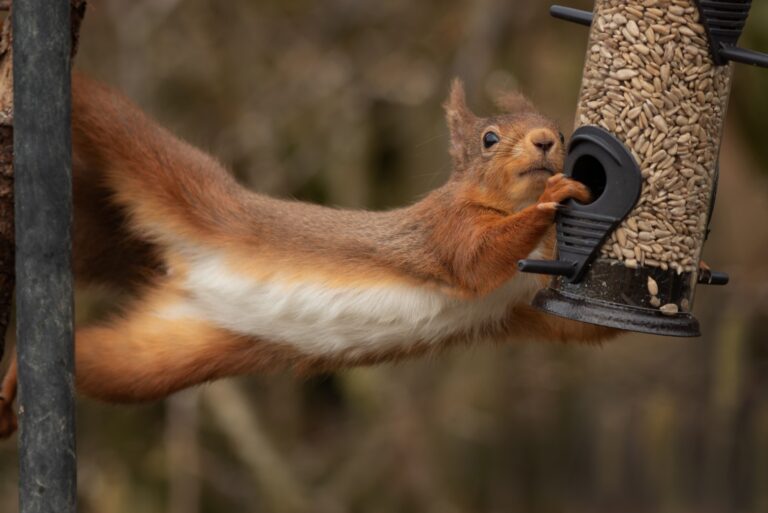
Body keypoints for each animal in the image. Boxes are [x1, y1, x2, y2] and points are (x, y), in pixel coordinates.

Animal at [0, 74, 618, 438]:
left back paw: (15, 382)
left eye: (561, 131)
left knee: (97, 359)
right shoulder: (443, 233)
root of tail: (182, 270)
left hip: (161, 357)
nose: (546, 140)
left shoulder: (524, 302)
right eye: (489, 139)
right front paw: (552, 197)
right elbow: (475, 261)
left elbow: (582, 331)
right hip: (165, 165)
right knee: (104, 113)